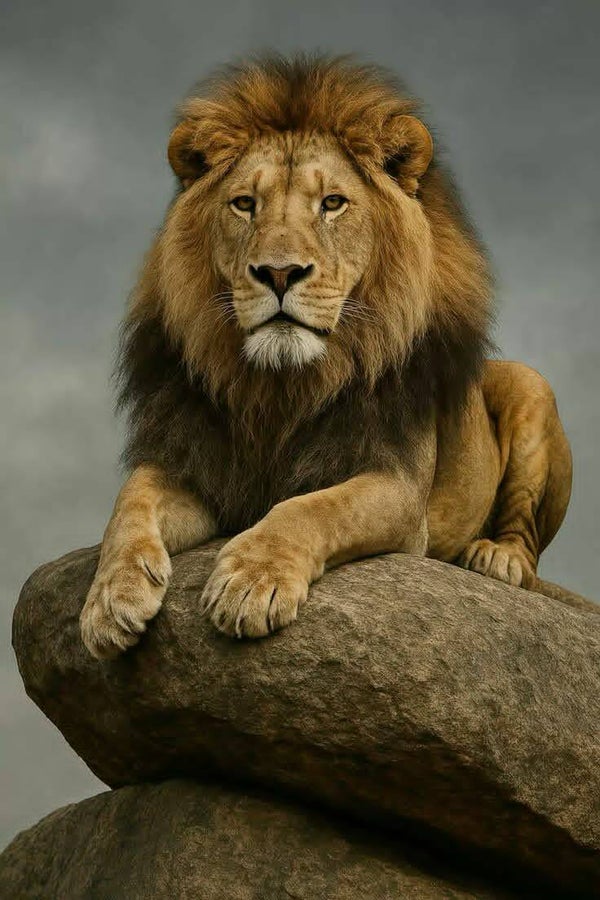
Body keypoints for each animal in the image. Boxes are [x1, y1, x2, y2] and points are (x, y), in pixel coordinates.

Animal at [80, 55, 595, 659]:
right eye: (245, 204)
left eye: (332, 204)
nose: (279, 273)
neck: (280, 387)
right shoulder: (201, 467)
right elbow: (129, 502)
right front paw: (109, 599)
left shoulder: (396, 488)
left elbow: (312, 507)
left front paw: (252, 580)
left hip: (529, 384)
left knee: (527, 541)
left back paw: (496, 558)